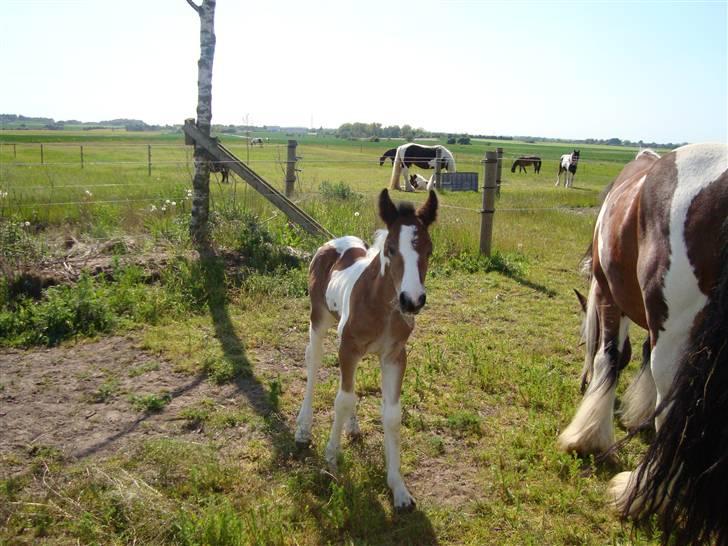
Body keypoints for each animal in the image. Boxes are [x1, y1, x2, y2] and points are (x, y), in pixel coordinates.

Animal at [292, 188, 438, 510]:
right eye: (391, 249)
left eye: (429, 250)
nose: (412, 300)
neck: (382, 306)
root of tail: (334, 241)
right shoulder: (347, 347)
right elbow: (342, 400)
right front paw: (331, 458)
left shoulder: (395, 356)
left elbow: (391, 414)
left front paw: (398, 488)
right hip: (319, 320)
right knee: (313, 361)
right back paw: (303, 428)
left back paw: (352, 428)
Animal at [556, 146, 728, 544]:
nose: (580, 384)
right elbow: (642, 354)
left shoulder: (608, 291)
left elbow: (609, 357)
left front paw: (586, 436)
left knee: (675, 418)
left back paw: (638, 495)